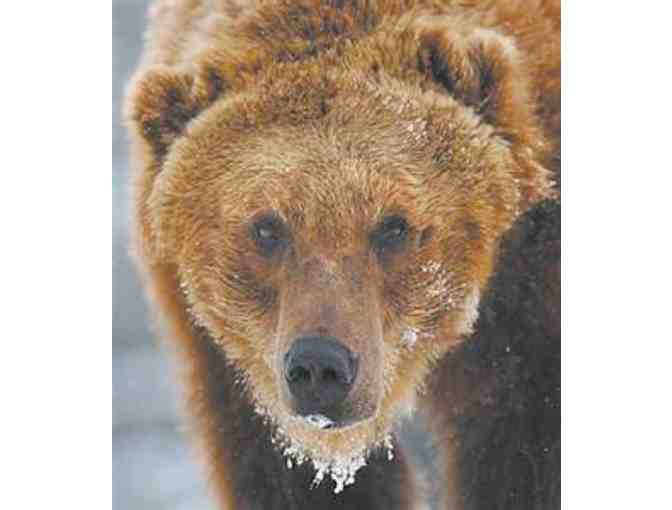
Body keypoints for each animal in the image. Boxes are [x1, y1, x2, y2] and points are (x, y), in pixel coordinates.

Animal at [125, 1, 560, 509]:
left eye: (394, 226)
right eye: (267, 227)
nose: (320, 366)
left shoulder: (525, 310)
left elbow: (519, 452)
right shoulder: (222, 355)